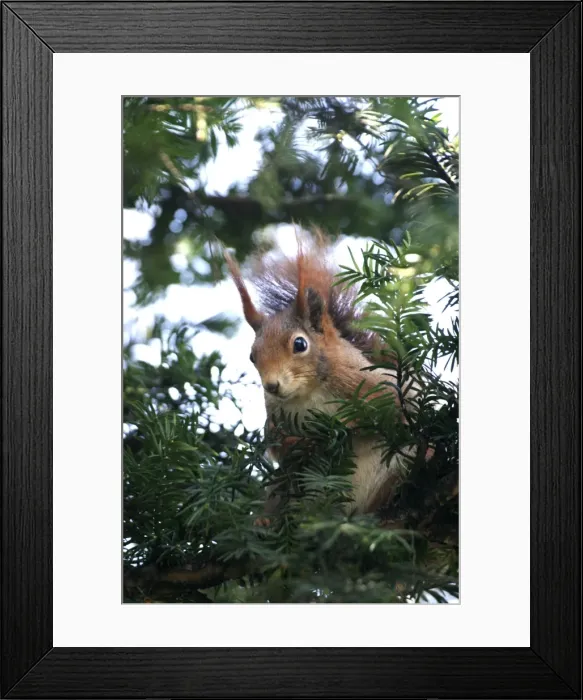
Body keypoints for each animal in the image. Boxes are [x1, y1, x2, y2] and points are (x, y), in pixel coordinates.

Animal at [224, 231, 426, 519]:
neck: (308, 394)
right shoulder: (276, 416)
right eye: (252, 356)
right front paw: (302, 440)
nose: (271, 386)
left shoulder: (374, 385)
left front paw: (340, 427)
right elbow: (277, 446)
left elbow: (402, 409)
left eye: (299, 344)